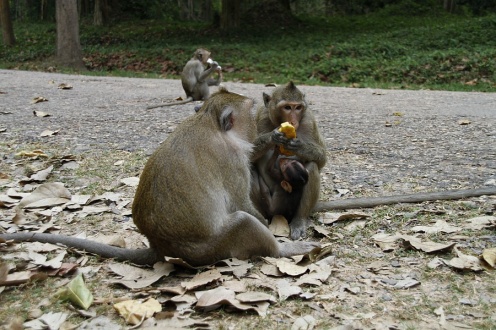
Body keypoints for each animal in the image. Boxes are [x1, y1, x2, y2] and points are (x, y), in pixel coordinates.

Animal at [1, 87, 320, 266]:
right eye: (250, 116)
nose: (256, 128)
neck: (208, 123)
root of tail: (159, 245)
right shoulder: (232, 160)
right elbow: (243, 205)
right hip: (213, 248)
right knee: (242, 222)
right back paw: (283, 250)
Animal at [250, 81, 328, 238]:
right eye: (287, 107)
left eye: (298, 107)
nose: (292, 121)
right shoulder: (262, 115)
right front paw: (273, 137)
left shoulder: (309, 120)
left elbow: (322, 159)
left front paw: (300, 147)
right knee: (250, 168)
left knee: (312, 166)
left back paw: (299, 220)